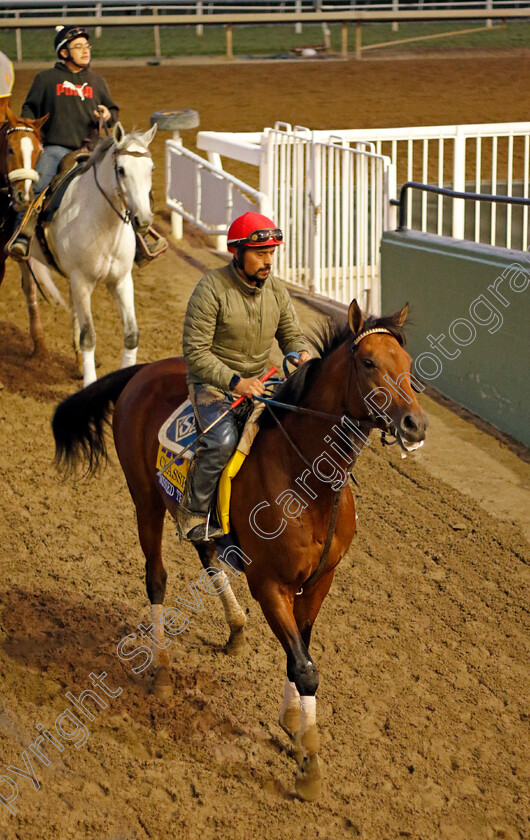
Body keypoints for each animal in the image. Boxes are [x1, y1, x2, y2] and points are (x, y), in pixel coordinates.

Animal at [52, 300, 424, 800]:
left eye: (406, 363)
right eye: (368, 363)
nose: (415, 424)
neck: (309, 478)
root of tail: (144, 370)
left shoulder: (320, 581)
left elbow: (301, 651)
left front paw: (292, 723)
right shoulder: (269, 584)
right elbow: (305, 667)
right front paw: (309, 765)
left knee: (207, 554)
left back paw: (235, 628)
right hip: (145, 499)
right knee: (156, 578)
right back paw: (163, 670)